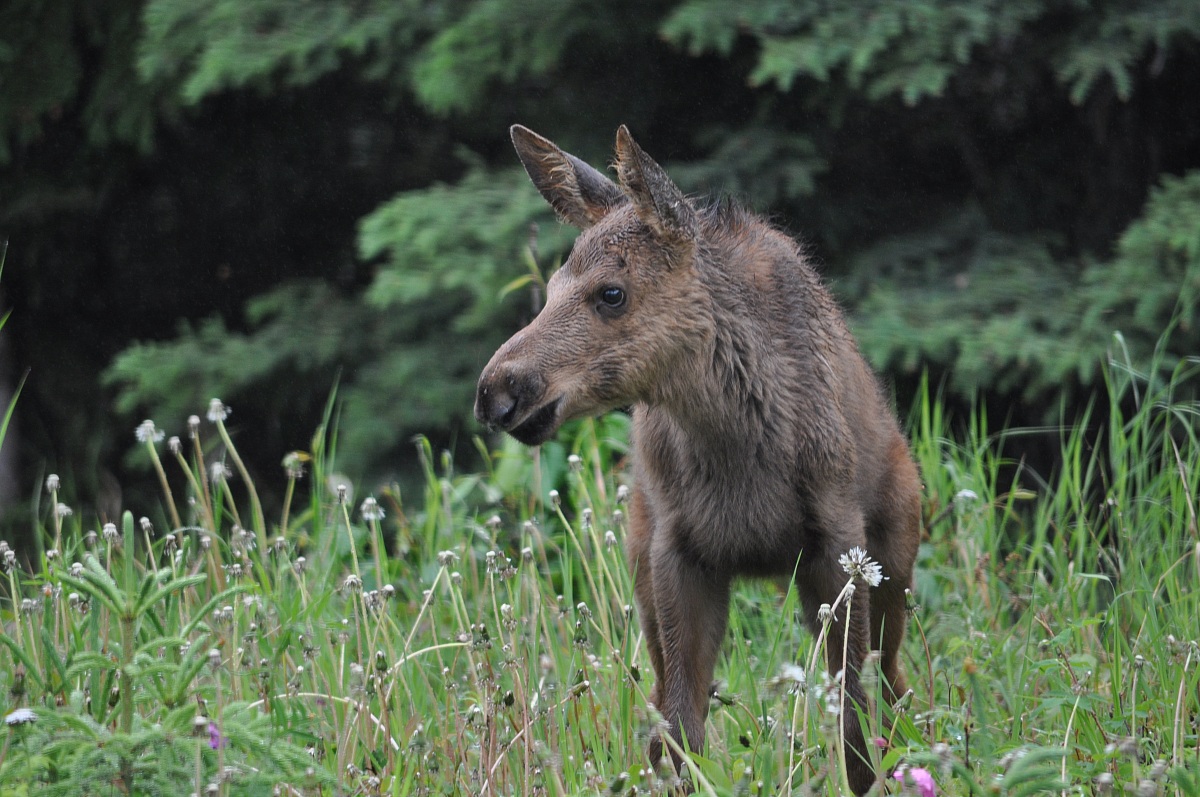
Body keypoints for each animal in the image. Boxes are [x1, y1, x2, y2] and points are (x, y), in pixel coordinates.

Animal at [475, 124, 922, 795]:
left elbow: (855, 719)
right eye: (550, 288)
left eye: (612, 292)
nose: (497, 390)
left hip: (895, 555)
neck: (736, 450)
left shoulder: (838, 540)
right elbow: (681, 727)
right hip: (640, 562)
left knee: (893, 687)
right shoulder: (676, 552)